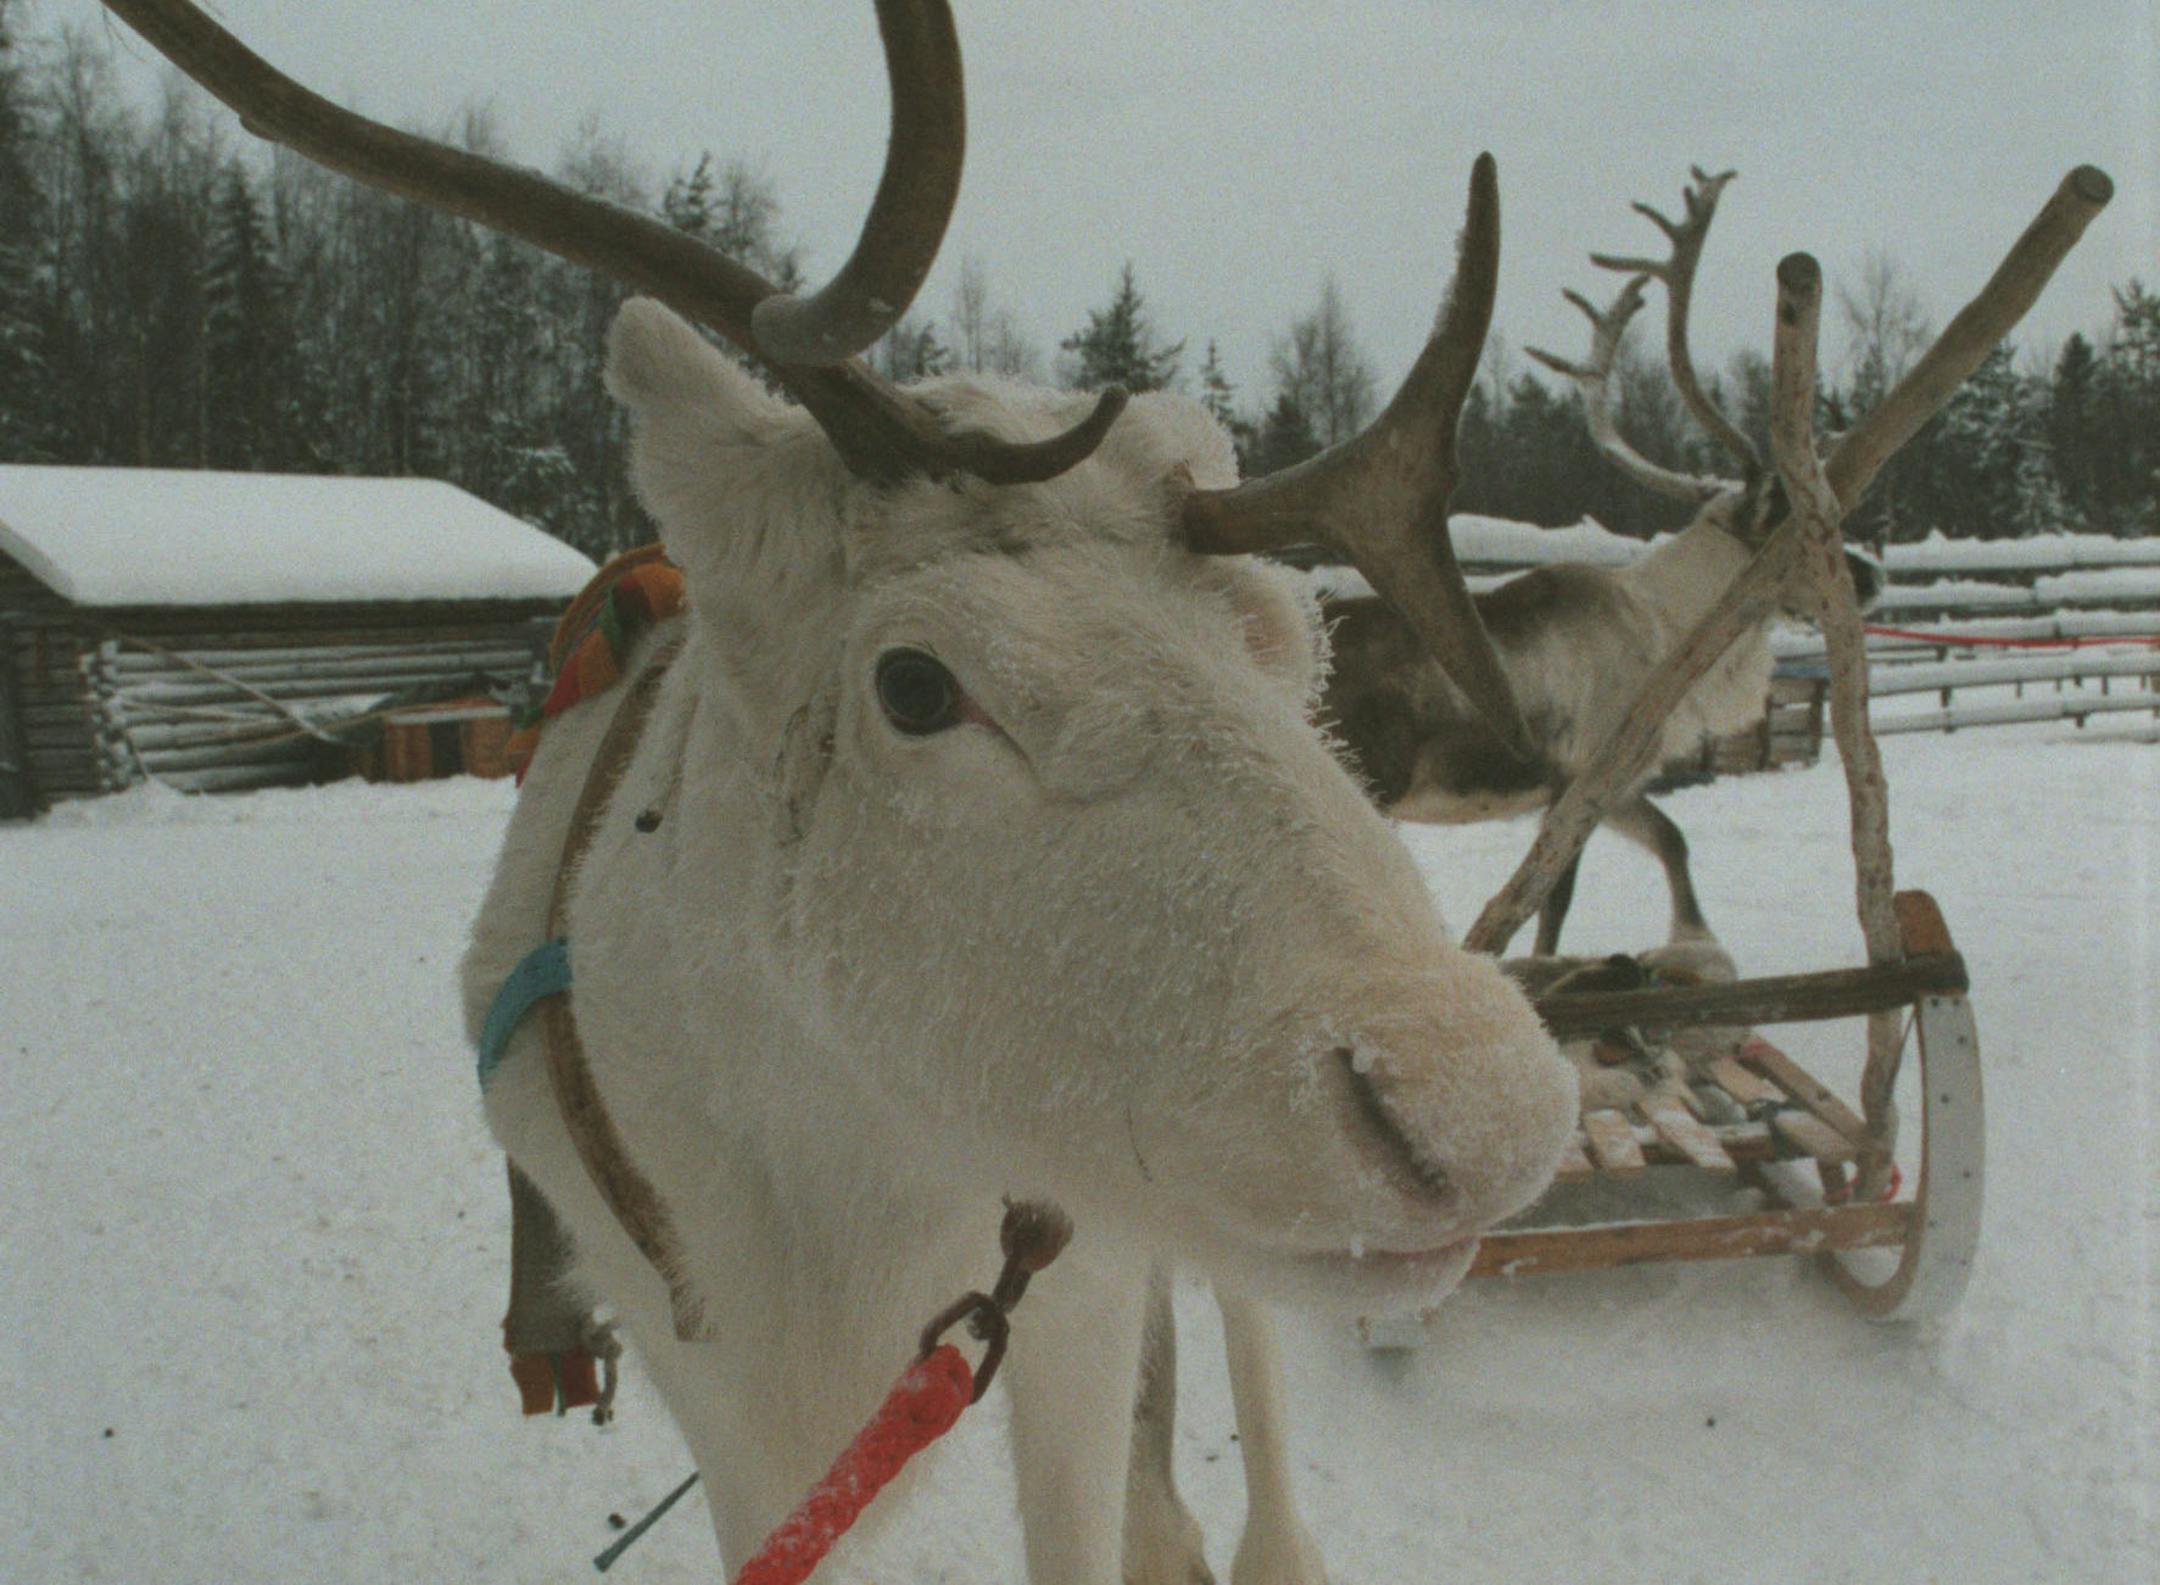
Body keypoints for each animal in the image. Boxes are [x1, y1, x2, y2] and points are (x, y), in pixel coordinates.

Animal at [100, 5, 1583, 1583]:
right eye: (915, 684)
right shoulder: (721, 1377)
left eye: (1285, 643)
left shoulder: (1073, 1279)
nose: (1479, 1106)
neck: (844, 1188)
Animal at [1319, 168, 1881, 961]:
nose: (1872, 578)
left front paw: (1694, 939)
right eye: (1797, 524)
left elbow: (1673, 840)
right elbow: (1553, 904)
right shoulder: (1580, 775)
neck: (1670, 631)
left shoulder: (1617, 782)